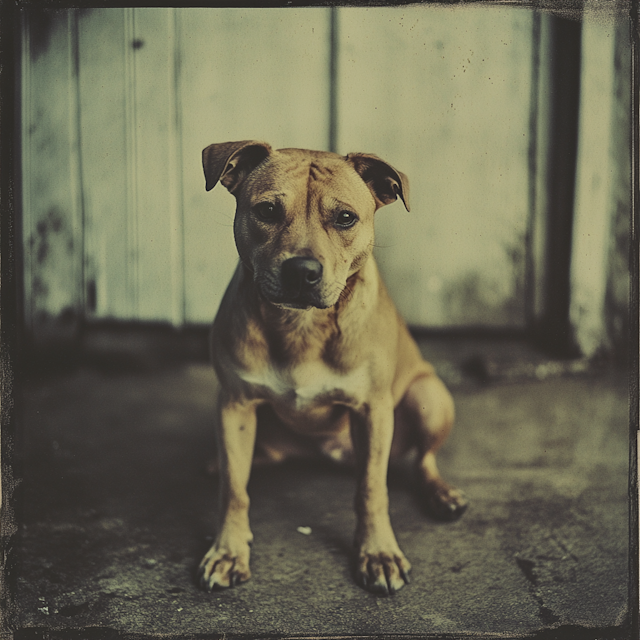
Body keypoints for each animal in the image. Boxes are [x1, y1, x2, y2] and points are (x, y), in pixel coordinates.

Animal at [198, 140, 468, 596]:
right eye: (267, 210)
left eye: (345, 218)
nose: (301, 270)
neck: (302, 326)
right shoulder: (235, 404)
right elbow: (234, 488)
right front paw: (229, 551)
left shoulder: (373, 411)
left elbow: (371, 489)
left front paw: (377, 553)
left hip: (429, 397)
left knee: (423, 460)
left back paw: (441, 493)